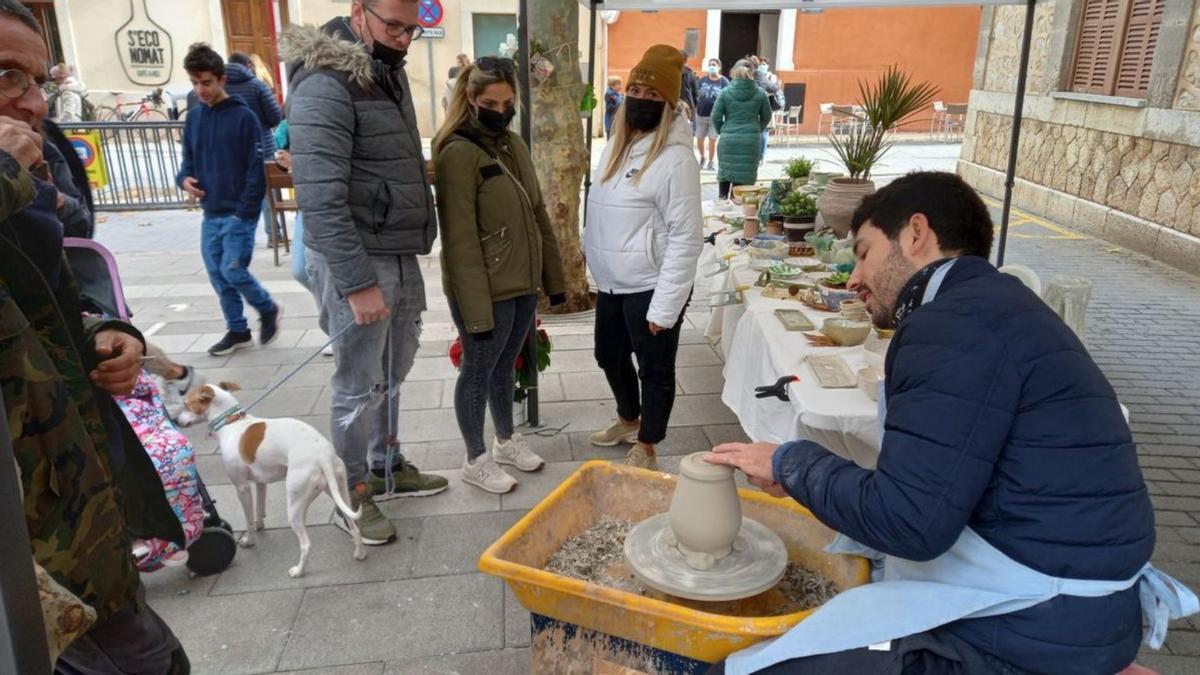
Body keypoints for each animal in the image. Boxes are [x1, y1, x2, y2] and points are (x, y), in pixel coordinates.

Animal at [178, 381, 364, 576]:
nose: (175, 421)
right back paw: (359, 553)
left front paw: (250, 540)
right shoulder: (261, 482)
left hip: (295, 504)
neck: (232, 422)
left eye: (186, 404)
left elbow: (248, 519)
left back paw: (298, 571)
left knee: (306, 544)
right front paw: (260, 524)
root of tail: (323, 455)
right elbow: (260, 508)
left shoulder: (242, 488)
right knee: (354, 527)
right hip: (339, 492)